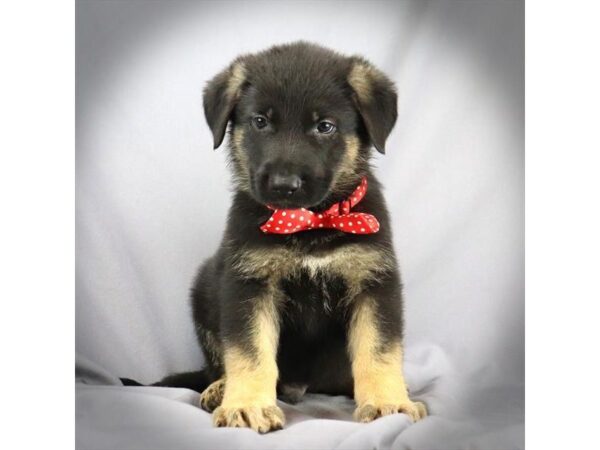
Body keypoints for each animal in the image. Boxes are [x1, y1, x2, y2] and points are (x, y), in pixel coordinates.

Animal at [125, 41, 426, 432]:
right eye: (260, 121)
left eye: (324, 126)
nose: (284, 186)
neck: (310, 224)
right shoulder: (249, 284)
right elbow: (249, 352)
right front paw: (247, 405)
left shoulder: (374, 282)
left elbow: (378, 350)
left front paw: (389, 401)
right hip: (205, 286)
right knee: (217, 362)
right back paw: (220, 389)